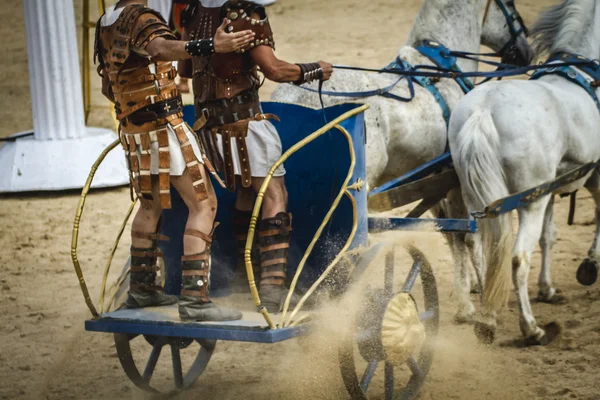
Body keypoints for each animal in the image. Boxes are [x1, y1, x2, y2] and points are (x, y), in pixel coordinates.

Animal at [272, 0, 528, 324]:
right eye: (509, 5)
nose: (527, 49)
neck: (438, 69)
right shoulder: (454, 176)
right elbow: (465, 234)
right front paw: (474, 300)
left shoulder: (434, 177)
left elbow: (451, 232)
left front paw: (472, 287)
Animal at [448, 0, 600, 346]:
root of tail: (483, 111)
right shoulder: (594, 176)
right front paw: (589, 266)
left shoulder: (553, 188)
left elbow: (549, 235)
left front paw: (548, 288)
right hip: (530, 201)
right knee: (517, 258)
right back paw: (531, 328)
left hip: (479, 197)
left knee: (477, 243)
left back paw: (487, 314)